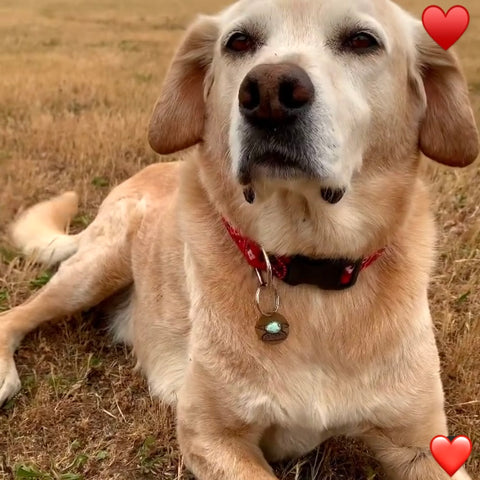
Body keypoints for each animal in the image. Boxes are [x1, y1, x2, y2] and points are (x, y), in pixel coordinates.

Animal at [0, 0, 480, 478]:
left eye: (363, 40)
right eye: (239, 41)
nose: (268, 93)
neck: (307, 266)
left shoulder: (423, 443)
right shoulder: (211, 434)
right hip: (97, 268)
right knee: (17, 313)